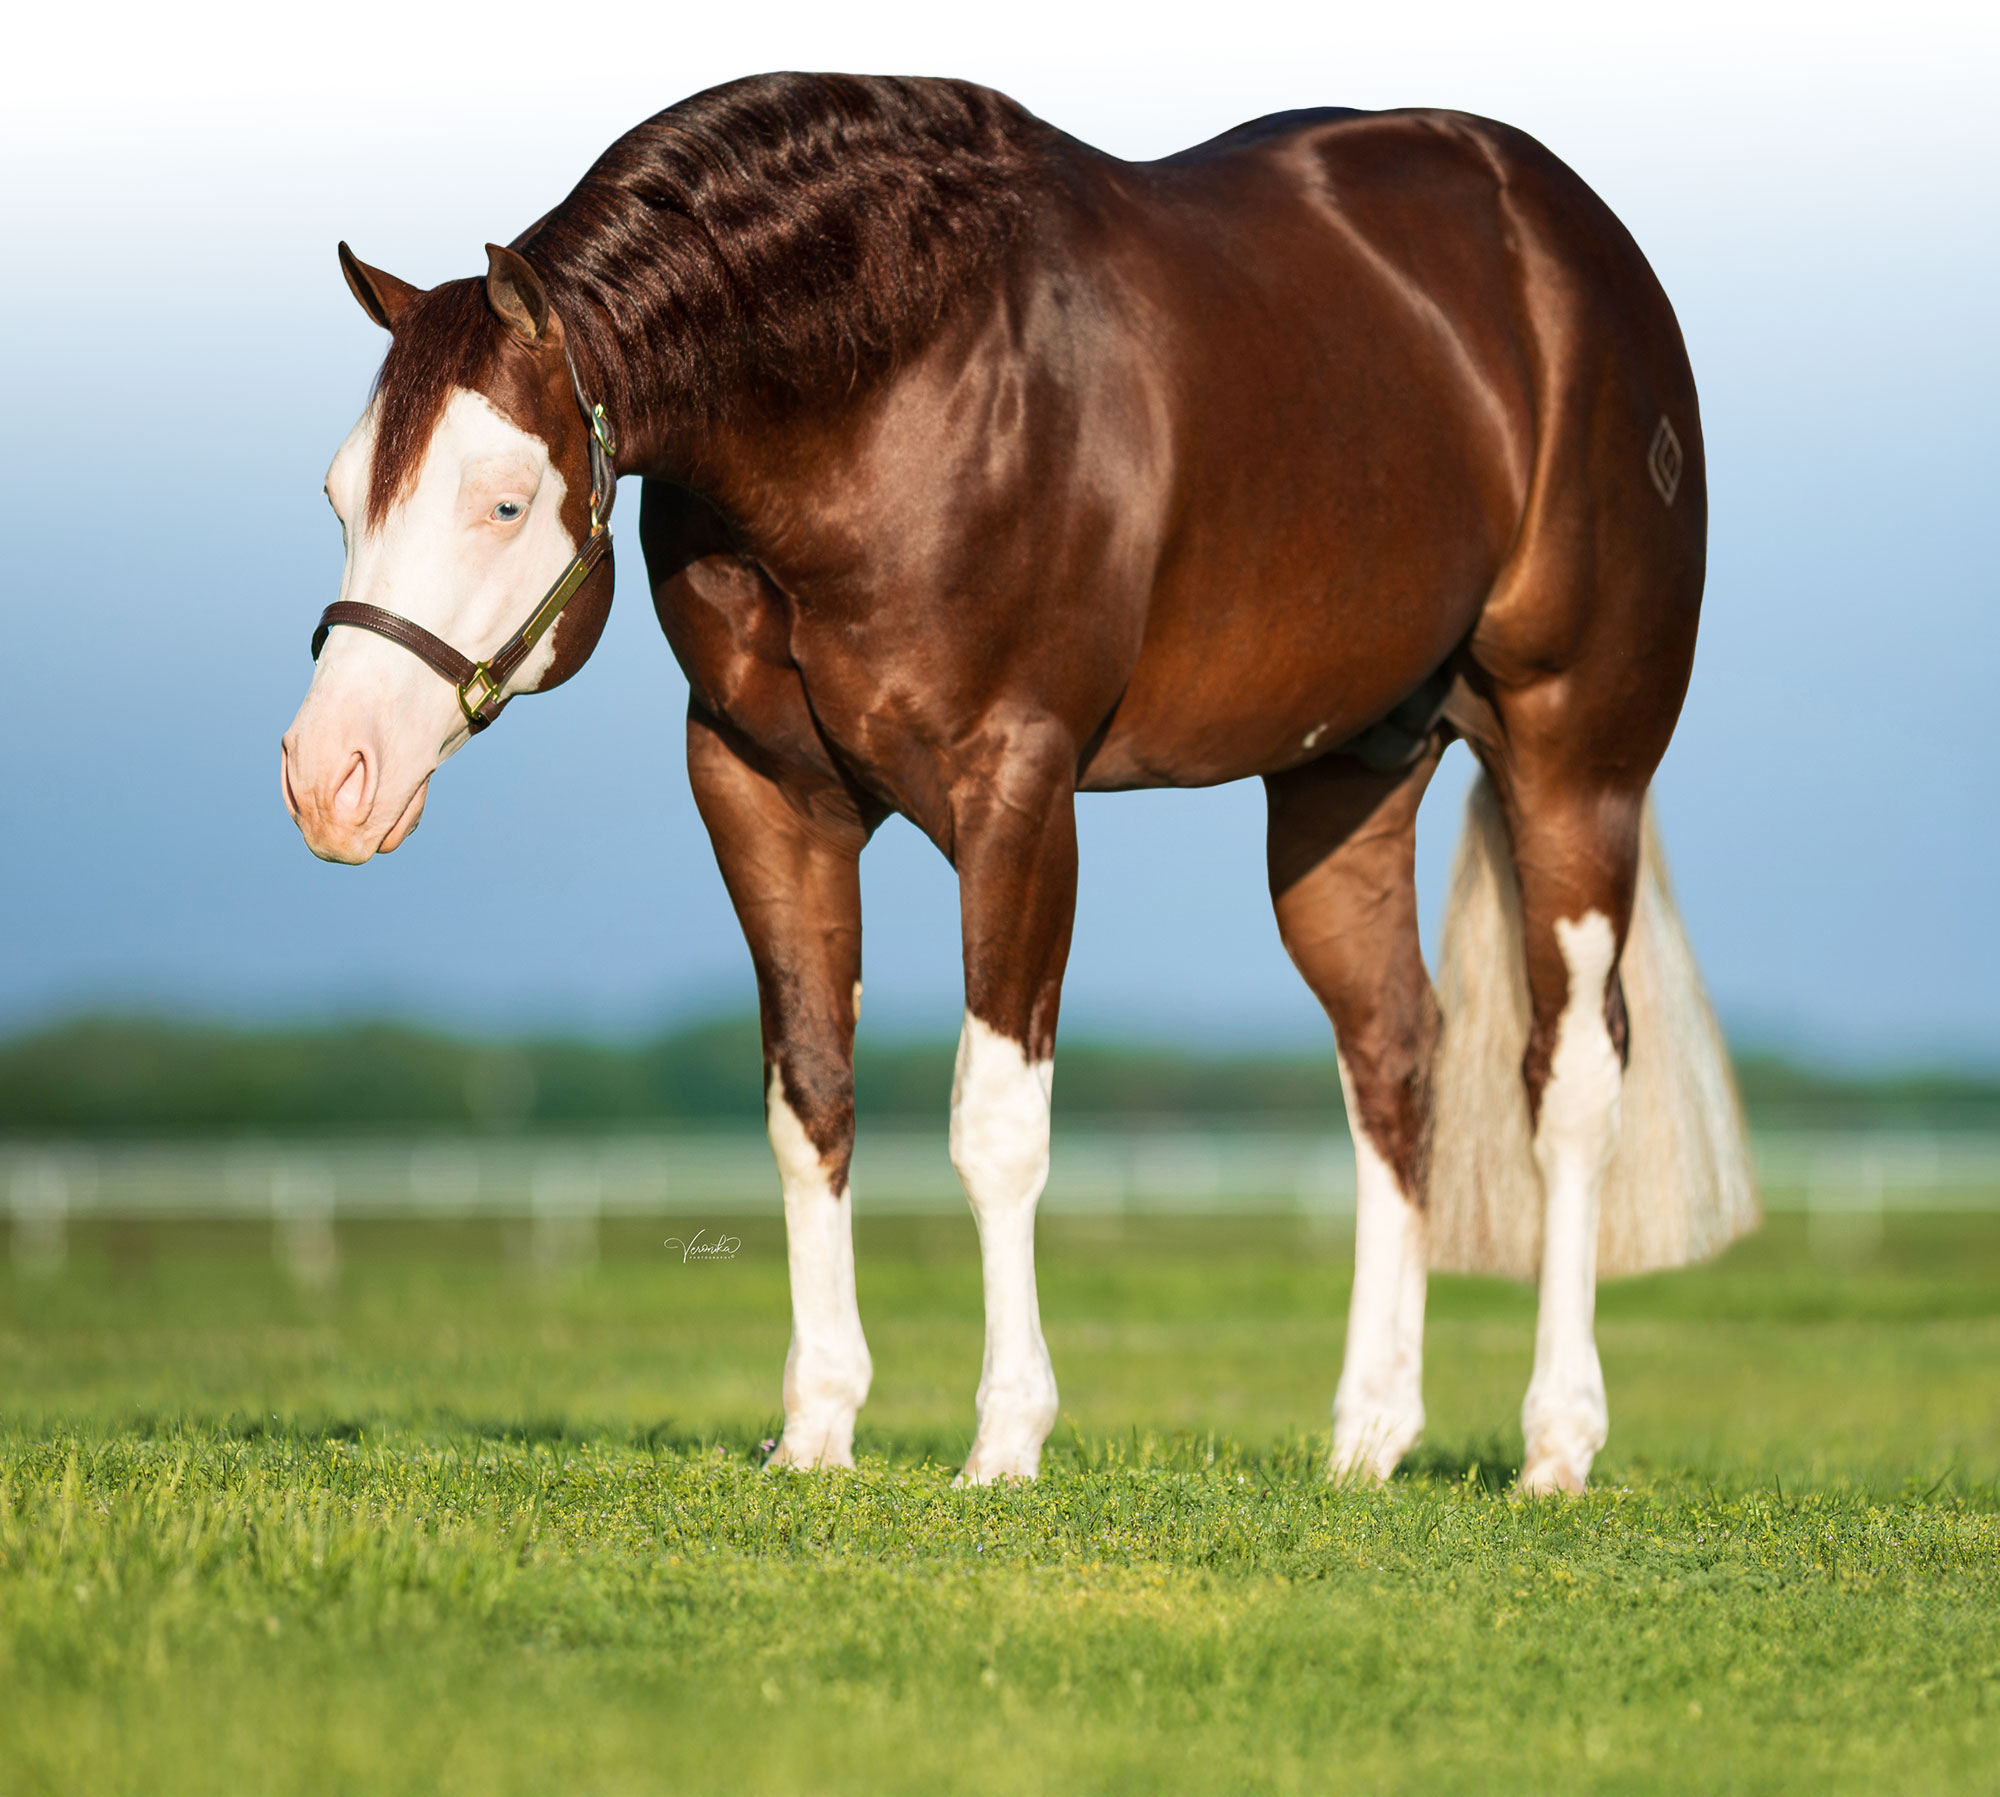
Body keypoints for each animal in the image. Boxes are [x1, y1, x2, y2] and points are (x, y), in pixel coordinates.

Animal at [280, 72, 1756, 1492]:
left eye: (504, 502)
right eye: (342, 495)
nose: (326, 777)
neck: (884, 381)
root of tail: (1572, 242)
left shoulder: (1018, 796)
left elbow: (995, 1123)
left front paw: (1003, 1442)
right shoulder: (761, 790)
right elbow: (808, 1101)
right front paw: (815, 1429)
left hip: (1574, 763)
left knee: (1570, 1081)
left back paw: (1555, 1445)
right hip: (1340, 785)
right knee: (1394, 1059)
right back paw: (1367, 1439)